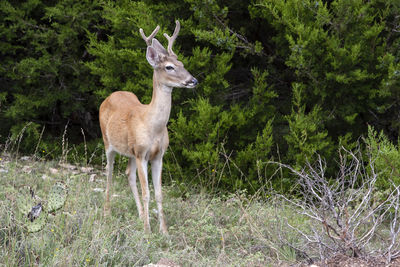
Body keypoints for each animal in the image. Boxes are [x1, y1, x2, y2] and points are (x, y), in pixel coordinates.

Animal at [99, 21, 198, 234]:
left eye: (182, 64)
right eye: (169, 67)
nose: (193, 80)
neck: (153, 126)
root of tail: (110, 96)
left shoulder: (158, 155)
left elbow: (159, 194)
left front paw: (164, 231)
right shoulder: (141, 154)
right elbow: (147, 193)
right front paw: (147, 231)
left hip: (130, 152)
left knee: (128, 175)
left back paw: (140, 215)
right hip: (108, 142)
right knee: (109, 173)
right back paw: (107, 212)